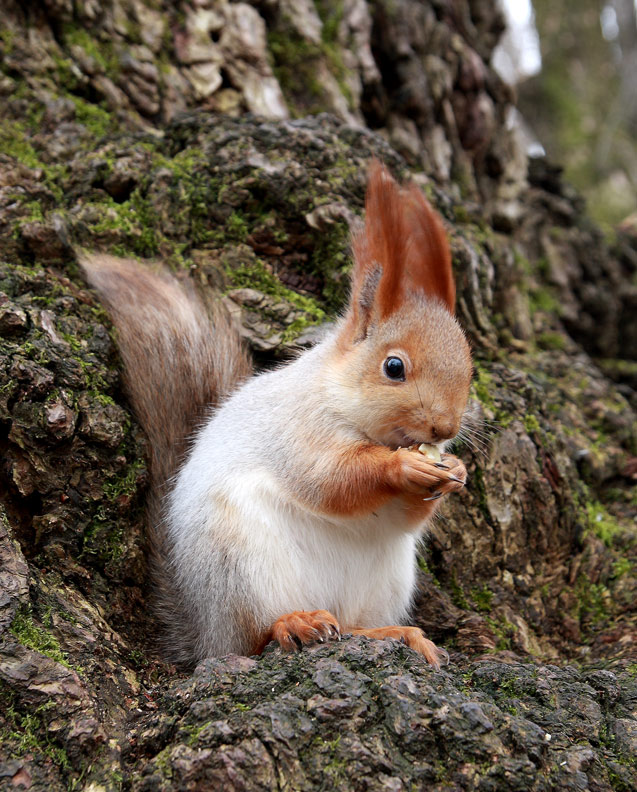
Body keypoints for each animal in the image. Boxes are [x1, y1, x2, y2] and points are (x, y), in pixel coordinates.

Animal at [79, 161, 472, 668]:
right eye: (394, 367)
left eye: (470, 367)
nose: (445, 428)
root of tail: (204, 630)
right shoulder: (296, 430)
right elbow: (330, 480)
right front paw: (402, 466)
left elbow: (404, 518)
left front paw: (455, 470)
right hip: (241, 565)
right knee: (253, 638)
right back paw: (294, 623)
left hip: (383, 579)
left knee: (353, 625)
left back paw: (395, 633)